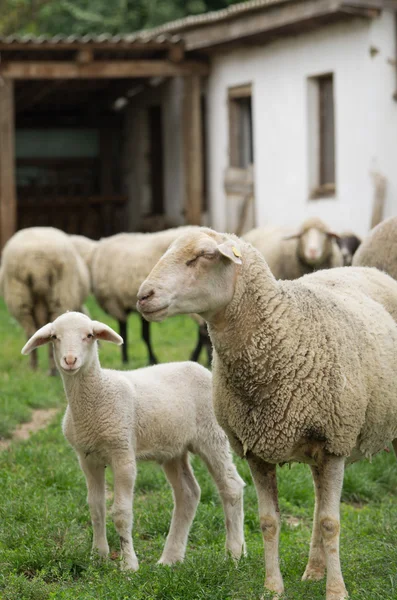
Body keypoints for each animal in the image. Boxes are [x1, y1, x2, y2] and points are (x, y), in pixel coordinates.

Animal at [0, 227, 89, 372]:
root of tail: (38, 266)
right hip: (60, 296)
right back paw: (52, 370)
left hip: (20, 298)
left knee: (30, 332)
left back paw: (34, 368)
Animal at [21, 312, 246, 568]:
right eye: (54, 337)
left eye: (89, 335)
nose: (70, 360)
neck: (98, 393)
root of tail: (200, 367)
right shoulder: (87, 457)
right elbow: (95, 507)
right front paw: (98, 555)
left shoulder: (123, 452)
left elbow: (121, 513)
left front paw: (129, 564)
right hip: (173, 448)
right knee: (188, 494)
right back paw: (170, 558)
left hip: (212, 435)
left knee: (231, 487)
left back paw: (234, 553)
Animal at [137, 226, 397, 600]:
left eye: (203, 255)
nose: (143, 296)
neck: (284, 333)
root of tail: (371, 270)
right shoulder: (257, 450)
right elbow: (269, 522)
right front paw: (273, 588)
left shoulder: (335, 443)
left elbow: (331, 523)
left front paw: (337, 591)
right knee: (317, 504)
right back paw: (313, 570)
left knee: (323, 512)